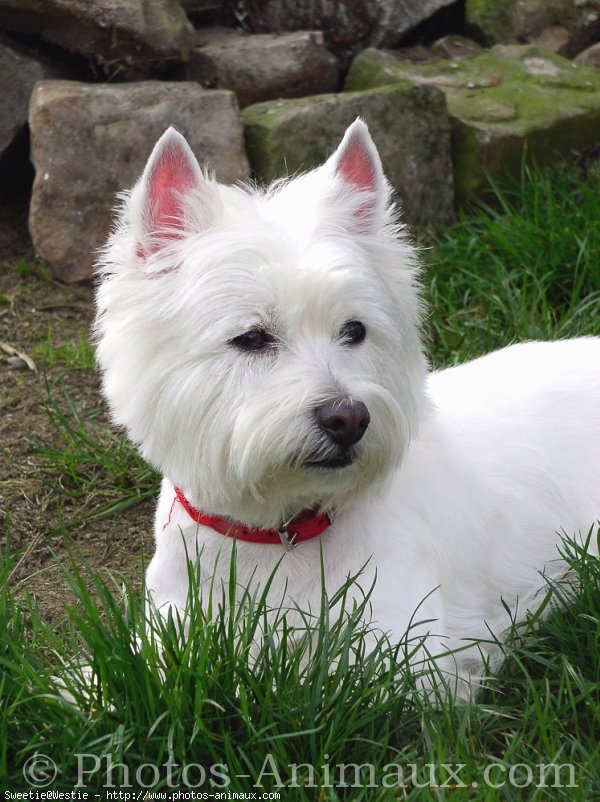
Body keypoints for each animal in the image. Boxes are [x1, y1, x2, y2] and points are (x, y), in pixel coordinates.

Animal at [95, 119, 600, 692]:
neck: (276, 536)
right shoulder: (167, 630)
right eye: (251, 337)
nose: (349, 419)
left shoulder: (404, 654)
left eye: (355, 330)